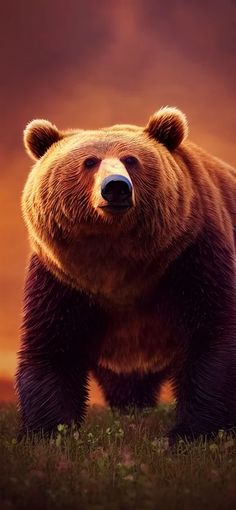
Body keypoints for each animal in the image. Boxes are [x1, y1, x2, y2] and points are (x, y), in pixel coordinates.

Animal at [14, 106, 236, 442]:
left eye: (131, 159)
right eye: (90, 161)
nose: (116, 186)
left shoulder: (192, 256)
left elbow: (211, 335)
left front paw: (190, 433)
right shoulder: (62, 280)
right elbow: (52, 347)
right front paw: (47, 432)